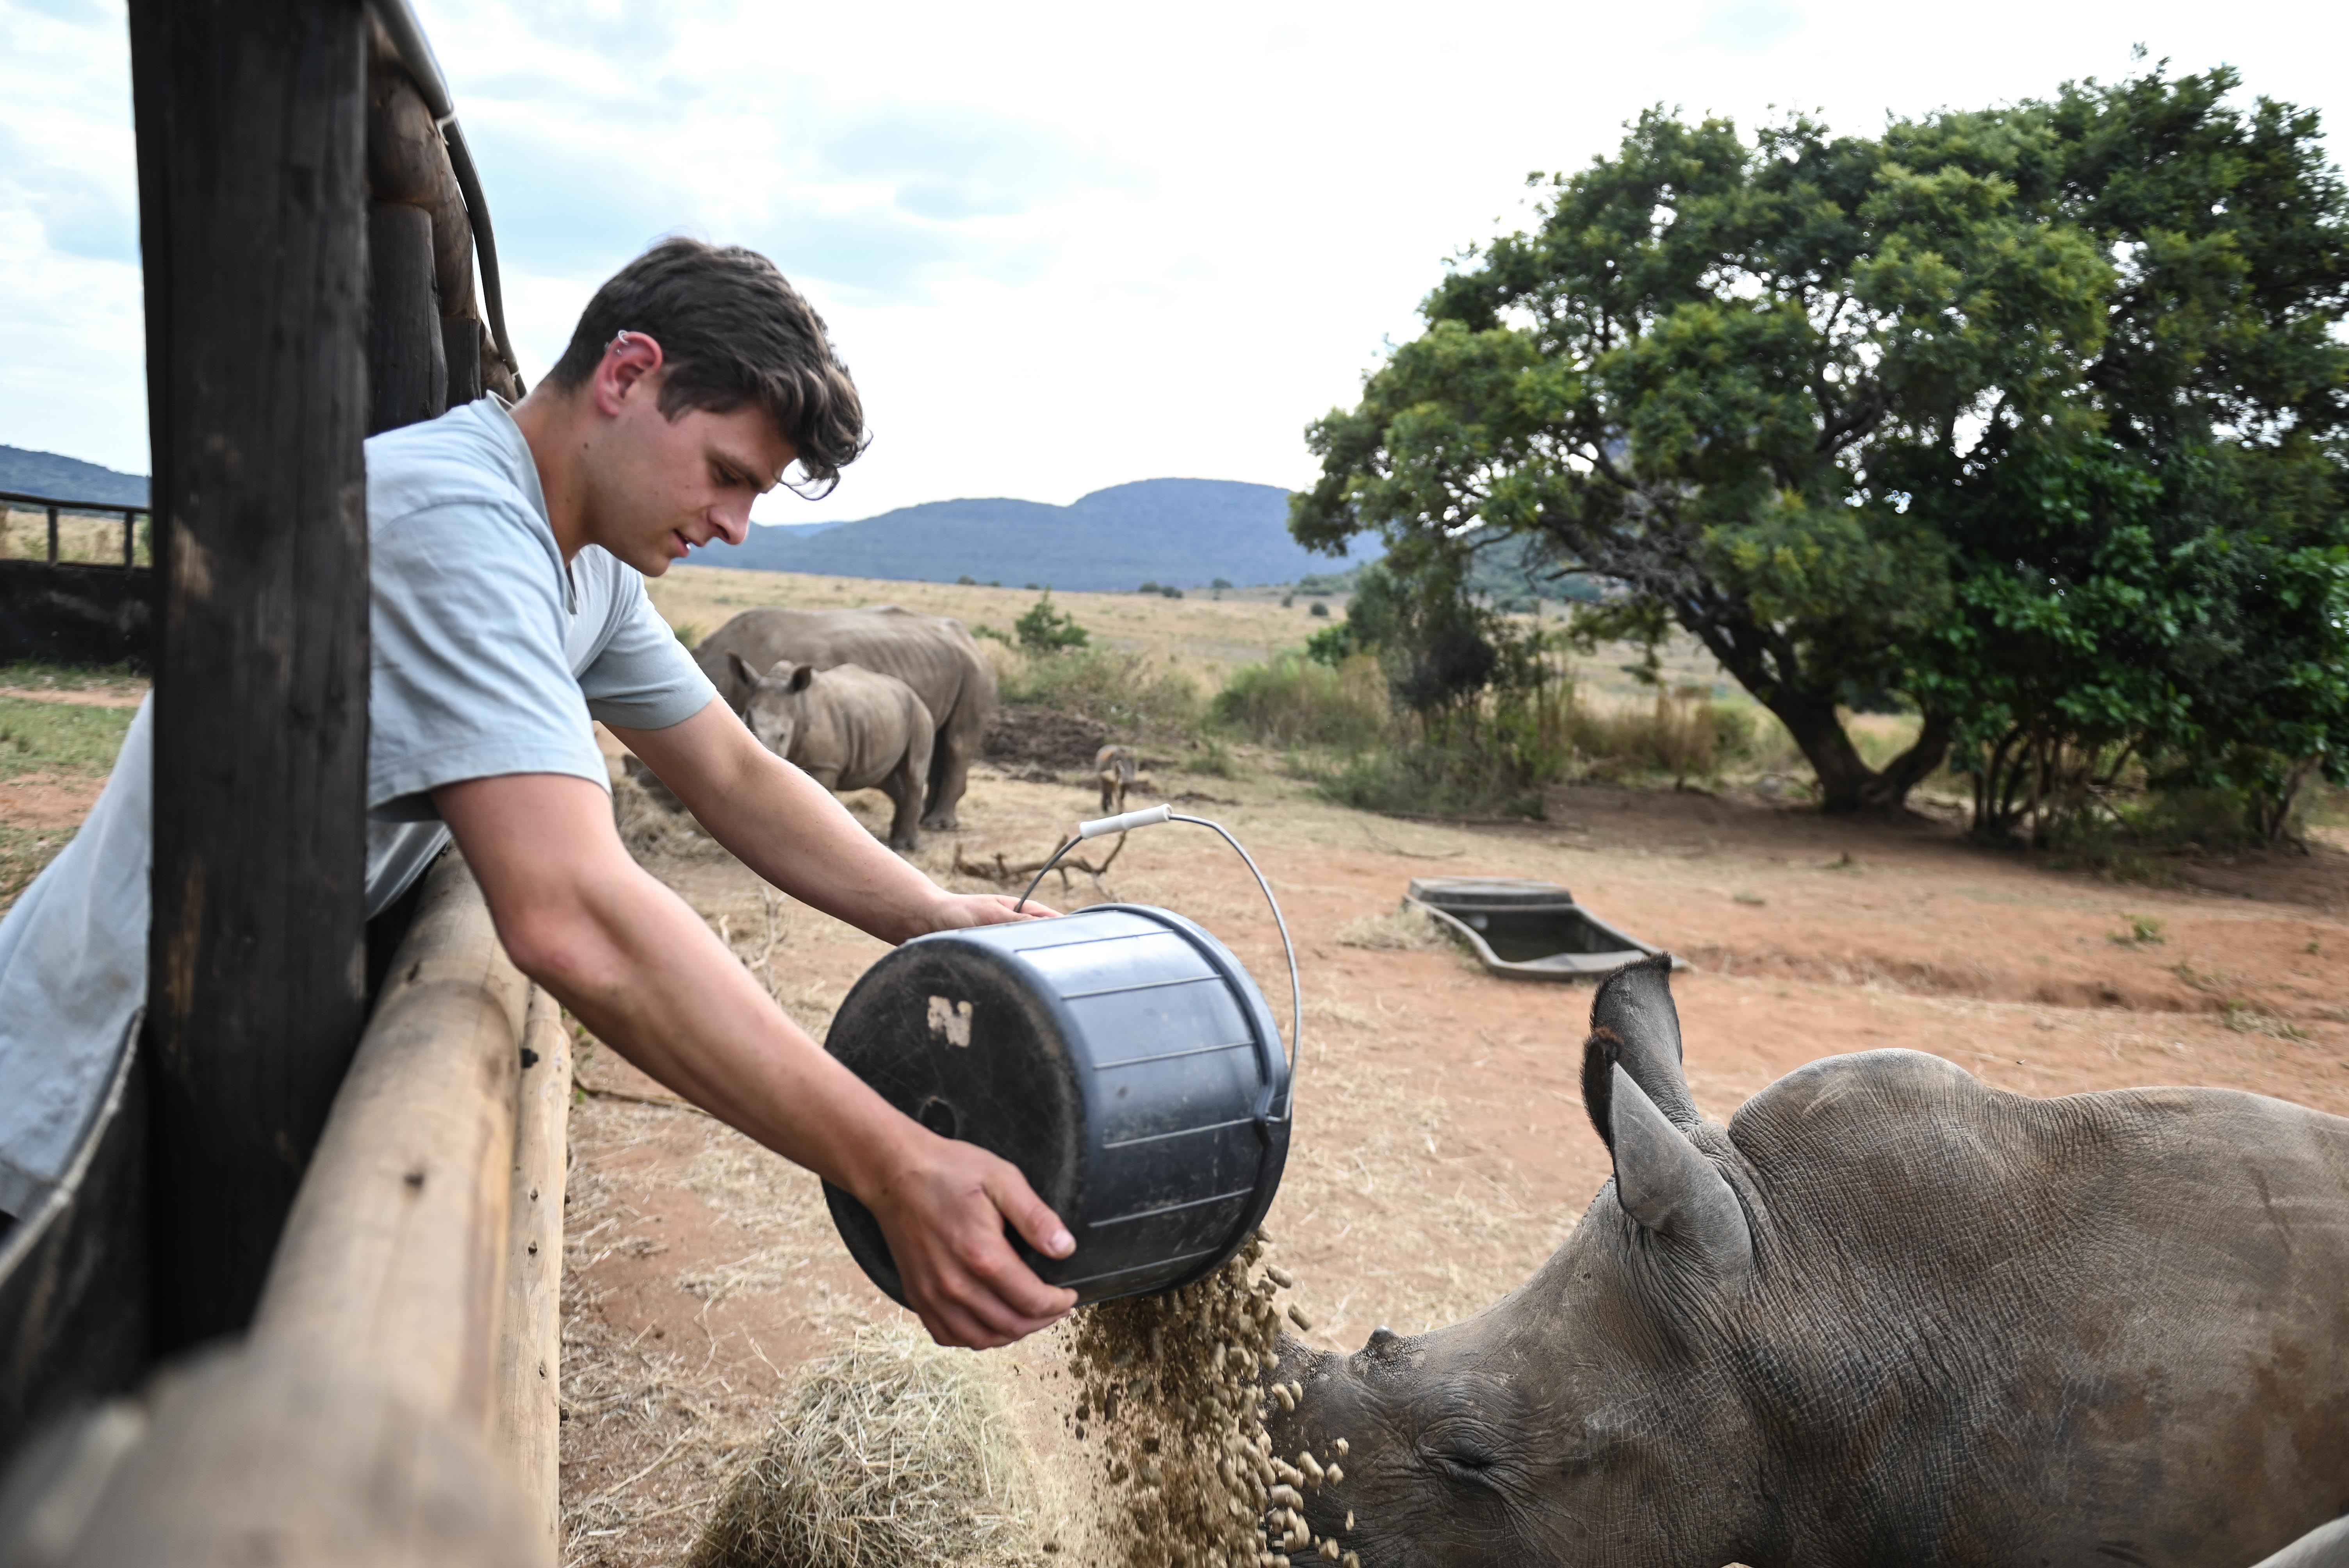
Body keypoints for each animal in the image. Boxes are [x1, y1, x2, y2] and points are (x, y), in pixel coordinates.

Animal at [697, 607, 993, 831]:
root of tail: (971, 640)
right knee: (940, 739)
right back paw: (925, 819)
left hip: (975, 670)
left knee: (956, 742)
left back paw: (938, 825)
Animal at [736, 658, 933, 852]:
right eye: (746, 723)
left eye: (782, 736)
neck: (798, 706)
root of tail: (914, 694)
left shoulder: (825, 765)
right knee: (886, 779)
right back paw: (893, 843)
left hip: (919, 715)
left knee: (912, 773)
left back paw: (905, 846)